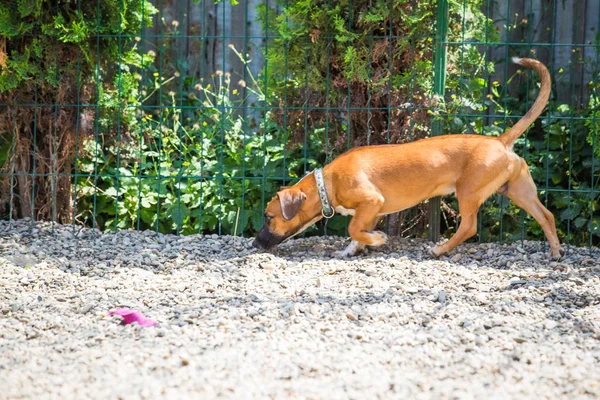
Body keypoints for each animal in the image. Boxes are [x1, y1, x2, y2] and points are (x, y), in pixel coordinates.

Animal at [253, 57, 564, 260]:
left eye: (269, 217)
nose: (255, 244)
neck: (327, 182)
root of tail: (500, 141)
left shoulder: (371, 202)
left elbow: (354, 227)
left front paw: (375, 240)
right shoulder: (374, 210)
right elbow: (357, 230)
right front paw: (355, 248)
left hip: (468, 193)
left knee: (469, 226)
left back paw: (440, 249)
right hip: (519, 191)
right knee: (546, 215)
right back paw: (555, 252)